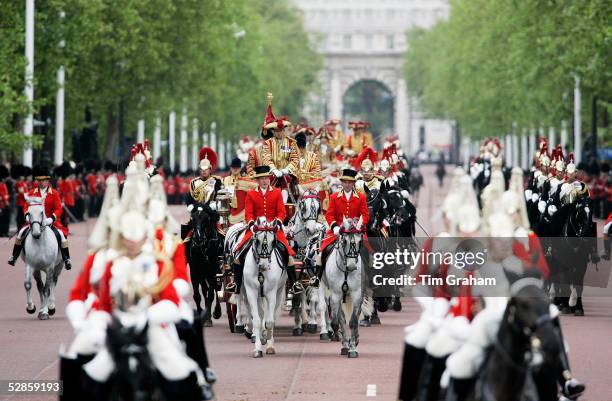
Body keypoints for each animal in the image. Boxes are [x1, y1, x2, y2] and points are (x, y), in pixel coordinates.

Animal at [241, 217, 286, 354]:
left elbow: (270, 321)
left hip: (279, 291)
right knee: (261, 314)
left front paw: (268, 341)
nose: (264, 266)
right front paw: (257, 348)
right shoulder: (251, 292)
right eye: (257, 240)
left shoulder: (271, 293)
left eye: (274, 241)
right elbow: (256, 320)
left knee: (272, 315)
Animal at [322, 217, 366, 358]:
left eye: (360, 241)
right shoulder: (335, 294)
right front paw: (345, 344)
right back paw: (345, 344)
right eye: (345, 240)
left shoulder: (357, 294)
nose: (352, 266)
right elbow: (337, 321)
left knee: (356, 315)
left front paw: (353, 348)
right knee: (340, 318)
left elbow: (353, 321)